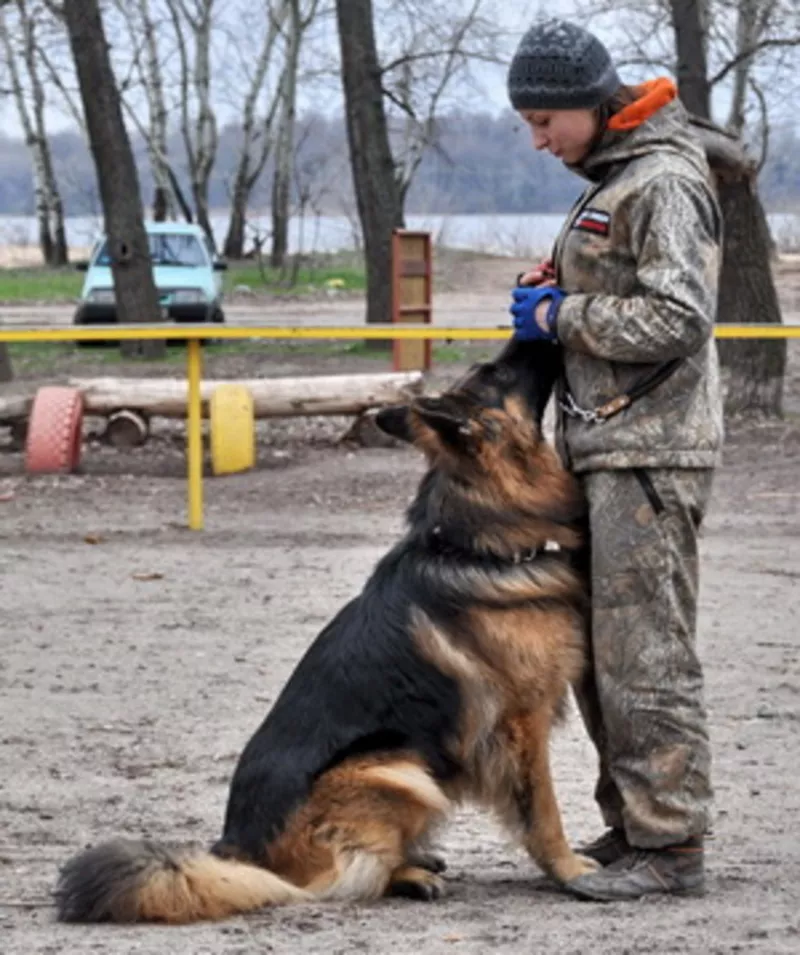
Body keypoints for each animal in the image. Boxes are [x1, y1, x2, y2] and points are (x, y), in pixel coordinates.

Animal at [54, 338, 592, 928]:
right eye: (497, 372)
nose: (542, 331)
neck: (479, 542)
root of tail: (238, 853)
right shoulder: (522, 724)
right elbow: (542, 810)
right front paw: (569, 870)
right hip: (397, 769)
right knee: (347, 878)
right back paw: (408, 874)